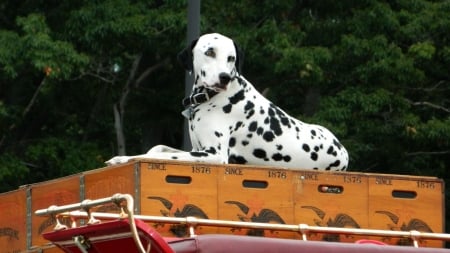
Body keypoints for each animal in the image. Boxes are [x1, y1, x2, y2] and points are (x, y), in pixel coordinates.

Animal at [105, 32, 348, 170]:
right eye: (210, 52)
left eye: (231, 58)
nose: (224, 77)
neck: (210, 98)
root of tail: (344, 153)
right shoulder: (197, 147)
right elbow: (157, 149)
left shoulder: (214, 155)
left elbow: (165, 155)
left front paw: (121, 159)